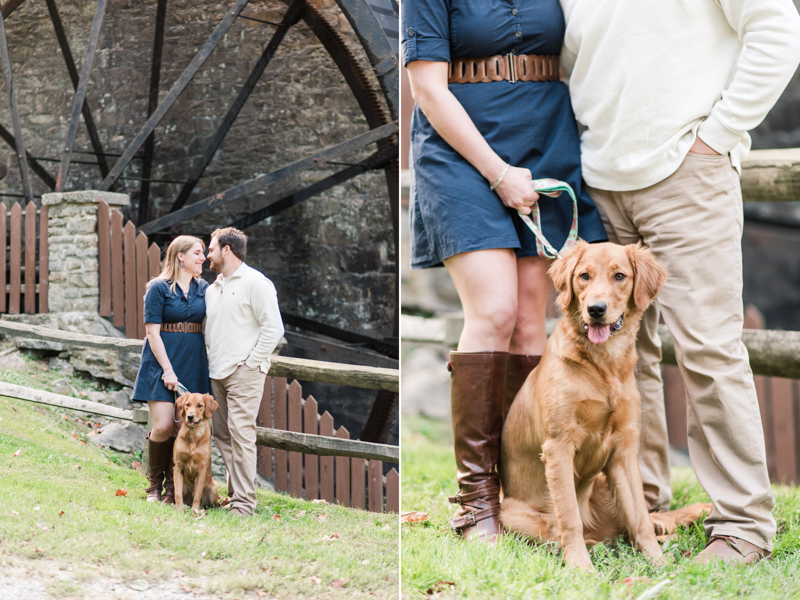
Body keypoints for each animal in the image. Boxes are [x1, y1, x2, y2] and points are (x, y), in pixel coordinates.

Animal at [500, 241, 712, 568]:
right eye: (584, 276)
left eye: (620, 276)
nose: (596, 310)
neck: (604, 364)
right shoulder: (558, 447)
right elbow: (569, 516)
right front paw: (580, 566)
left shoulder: (624, 449)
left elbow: (640, 518)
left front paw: (658, 563)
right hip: (511, 515)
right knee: (566, 531)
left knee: (652, 520)